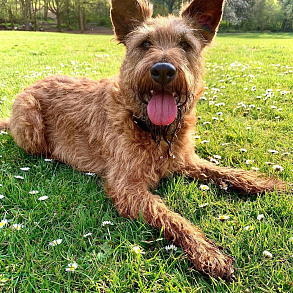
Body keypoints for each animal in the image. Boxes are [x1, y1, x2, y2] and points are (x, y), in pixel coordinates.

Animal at [0, 0, 286, 280]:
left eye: (185, 44)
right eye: (145, 43)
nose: (163, 71)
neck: (152, 130)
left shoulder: (186, 160)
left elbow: (226, 172)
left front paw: (267, 184)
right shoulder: (127, 188)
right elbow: (170, 216)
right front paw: (206, 252)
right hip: (31, 121)